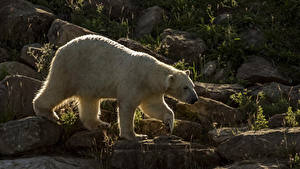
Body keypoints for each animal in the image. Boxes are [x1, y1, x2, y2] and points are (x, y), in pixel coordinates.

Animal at [32, 34, 199, 140]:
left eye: (193, 86)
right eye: (185, 87)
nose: (195, 99)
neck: (150, 74)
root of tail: (61, 48)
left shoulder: (151, 91)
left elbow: (153, 107)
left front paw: (169, 124)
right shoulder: (134, 81)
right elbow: (127, 106)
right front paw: (136, 136)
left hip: (88, 81)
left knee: (89, 101)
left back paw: (100, 124)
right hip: (72, 68)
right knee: (58, 89)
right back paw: (47, 113)